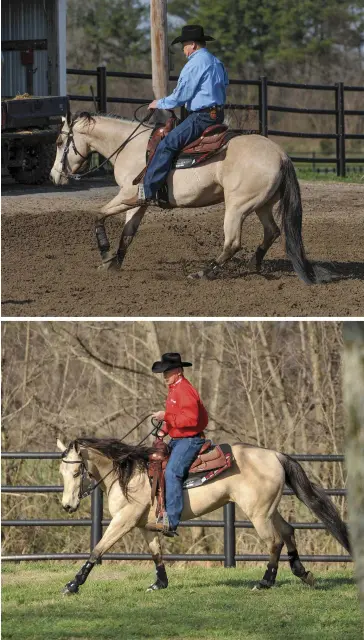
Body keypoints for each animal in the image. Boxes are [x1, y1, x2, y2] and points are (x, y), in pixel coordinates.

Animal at [49, 111, 332, 284]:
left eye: (60, 142)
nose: (53, 177)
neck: (129, 146)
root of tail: (281, 155)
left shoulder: (126, 195)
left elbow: (98, 215)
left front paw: (105, 253)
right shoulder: (139, 202)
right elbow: (128, 233)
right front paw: (113, 263)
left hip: (238, 207)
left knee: (233, 242)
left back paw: (202, 273)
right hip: (262, 204)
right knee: (272, 231)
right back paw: (254, 264)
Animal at [57, 436, 350, 596]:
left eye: (76, 472)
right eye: (61, 472)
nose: (67, 506)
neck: (129, 473)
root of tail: (275, 455)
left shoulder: (124, 521)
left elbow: (97, 550)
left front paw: (73, 584)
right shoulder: (144, 526)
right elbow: (156, 554)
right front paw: (160, 584)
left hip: (258, 513)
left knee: (274, 541)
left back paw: (265, 582)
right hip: (268, 509)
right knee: (288, 530)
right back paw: (303, 574)